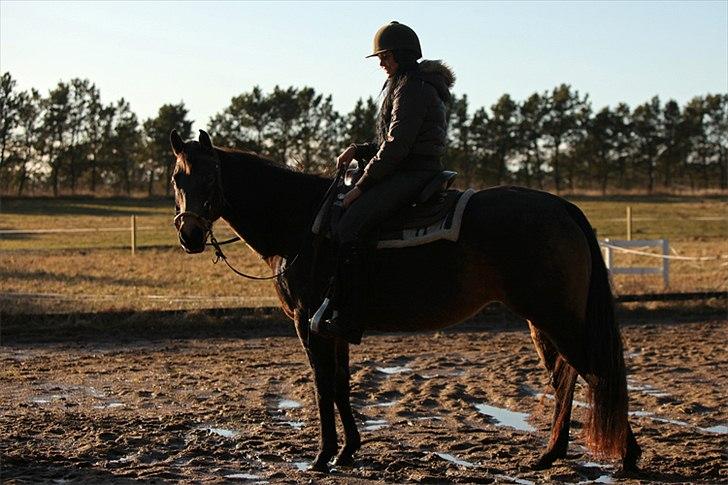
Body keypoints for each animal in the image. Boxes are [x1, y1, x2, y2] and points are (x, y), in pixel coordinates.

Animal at [171, 129, 644, 472]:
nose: (189, 235)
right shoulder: (334, 325)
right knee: (565, 377)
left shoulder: (309, 324)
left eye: (209, 178)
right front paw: (349, 450)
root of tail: (562, 207)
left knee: (596, 371)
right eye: (178, 178)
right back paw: (551, 454)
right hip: (542, 321)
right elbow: (341, 384)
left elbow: (323, 386)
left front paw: (322, 457)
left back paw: (627, 456)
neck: (303, 224)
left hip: (556, 316)